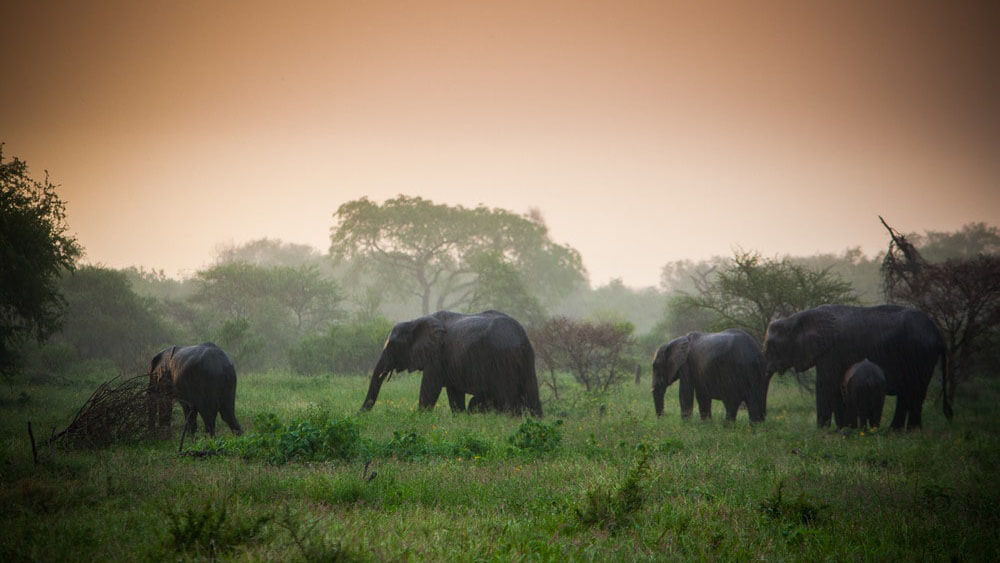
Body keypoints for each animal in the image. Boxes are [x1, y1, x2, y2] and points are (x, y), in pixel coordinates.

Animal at [362, 310, 544, 416]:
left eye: (392, 346)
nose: (359, 415)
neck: (414, 321)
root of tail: (521, 337)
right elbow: (454, 393)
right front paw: (460, 418)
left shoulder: (436, 355)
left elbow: (430, 388)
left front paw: (420, 417)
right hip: (526, 360)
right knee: (531, 392)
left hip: (503, 360)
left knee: (506, 398)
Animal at [760, 304, 948, 432]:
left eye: (770, 347)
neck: (795, 319)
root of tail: (939, 335)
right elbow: (835, 388)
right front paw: (840, 429)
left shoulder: (832, 351)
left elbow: (825, 386)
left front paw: (822, 431)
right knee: (909, 393)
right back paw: (897, 431)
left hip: (921, 354)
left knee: (915, 391)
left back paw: (908, 431)